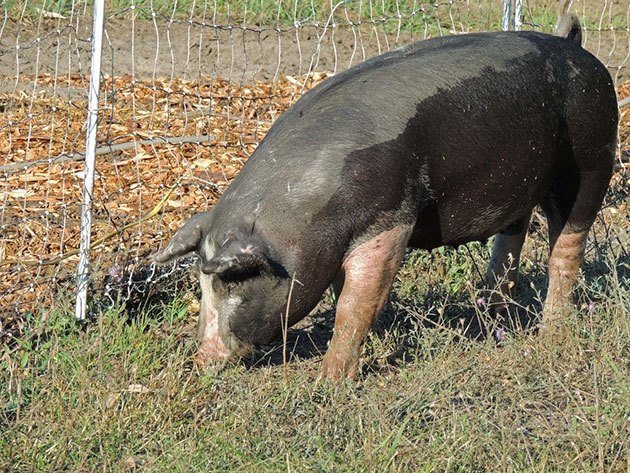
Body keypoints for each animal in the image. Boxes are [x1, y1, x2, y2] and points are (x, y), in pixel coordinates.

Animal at [156, 12, 620, 378]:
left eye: (233, 282)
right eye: (201, 283)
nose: (200, 362)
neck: (302, 219)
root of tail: (572, 45)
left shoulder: (390, 219)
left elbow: (356, 302)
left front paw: (330, 382)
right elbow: (346, 293)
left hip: (593, 161)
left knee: (566, 250)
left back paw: (550, 336)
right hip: (520, 182)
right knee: (510, 242)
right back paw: (488, 318)